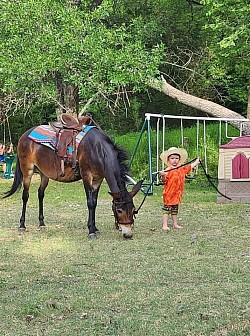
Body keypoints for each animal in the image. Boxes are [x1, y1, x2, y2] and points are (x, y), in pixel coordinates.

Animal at [2, 124, 143, 239]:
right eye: (119, 211)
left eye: (133, 209)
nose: (128, 234)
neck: (97, 150)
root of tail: (24, 136)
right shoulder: (87, 176)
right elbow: (90, 203)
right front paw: (91, 231)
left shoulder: (98, 179)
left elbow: (95, 202)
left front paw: (95, 228)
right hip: (27, 171)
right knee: (25, 196)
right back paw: (22, 225)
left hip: (44, 174)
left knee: (40, 194)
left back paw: (41, 224)